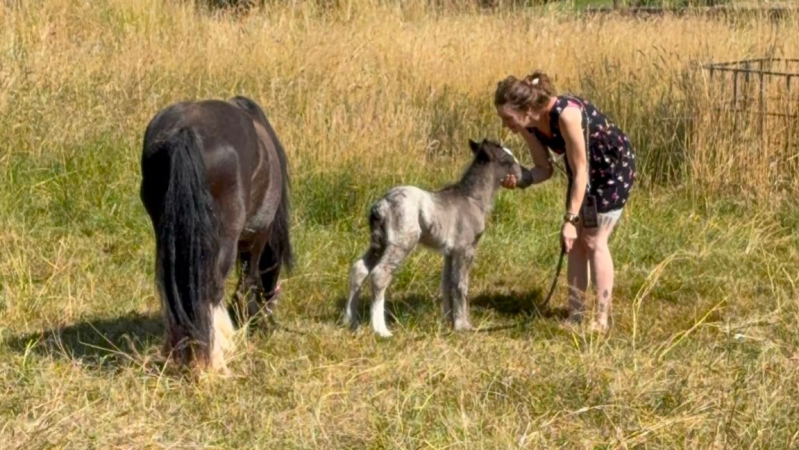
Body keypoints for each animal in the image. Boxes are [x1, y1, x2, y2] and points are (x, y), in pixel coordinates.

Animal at [140, 96, 293, 374]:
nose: (268, 322)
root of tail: (184, 131)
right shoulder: (257, 238)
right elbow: (246, 283)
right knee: (212, 289)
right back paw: (213, 361)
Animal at [344, 139, 522, 337]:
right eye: (508, 160)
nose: (522, 174)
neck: (472, 199)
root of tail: (382, 204)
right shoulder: (465, 248)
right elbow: (461, 284)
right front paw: (463, 326)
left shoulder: (449, 251)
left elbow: (447, 283)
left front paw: (448, 322)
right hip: (402, 241)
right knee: (379, 274)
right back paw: (381, 330)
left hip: (379, 242)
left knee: (359, 269)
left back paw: (351, 322)